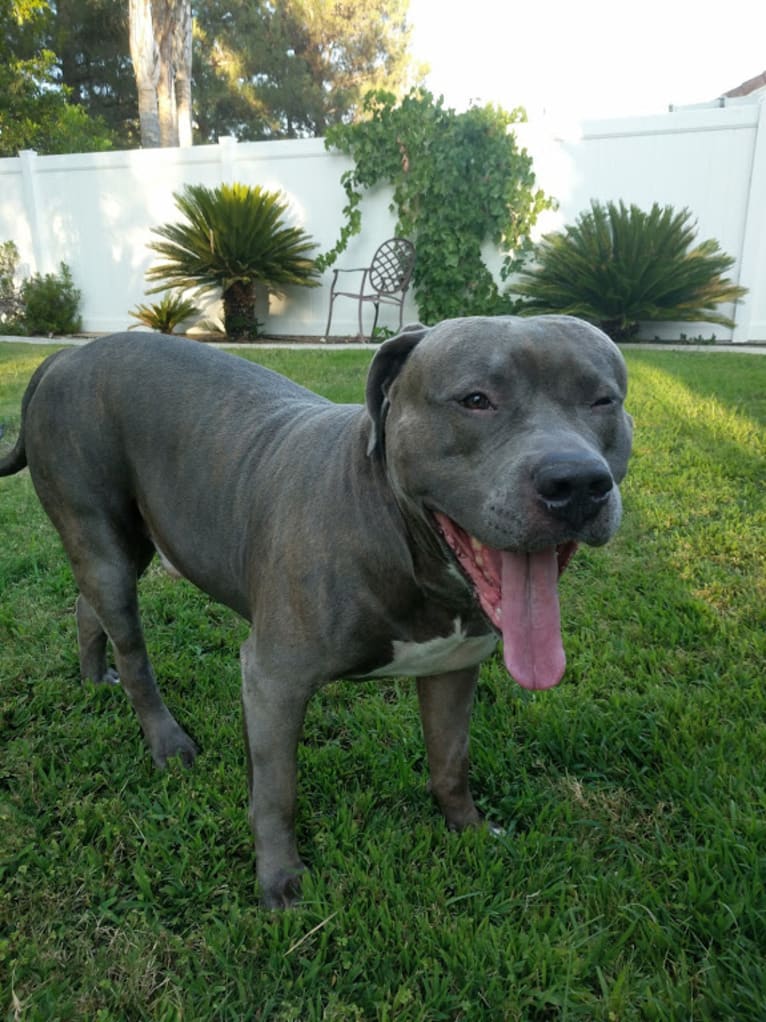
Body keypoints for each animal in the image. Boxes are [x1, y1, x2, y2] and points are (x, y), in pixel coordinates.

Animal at [0, 314, 637, 907]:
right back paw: (166, 741)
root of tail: (64, 356)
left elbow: (449, 762)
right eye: (476, 399)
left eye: (603, 399)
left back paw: (92, 679)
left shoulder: (452, 669)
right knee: (132, 651)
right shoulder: (274, 681)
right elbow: (276, 790)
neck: (397, 536)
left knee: (87, 606)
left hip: (126, 548)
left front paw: (469, 829)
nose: (577, 482)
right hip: (102, 538)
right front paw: (279, 879)